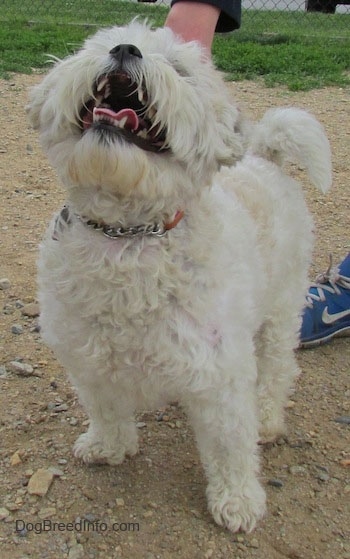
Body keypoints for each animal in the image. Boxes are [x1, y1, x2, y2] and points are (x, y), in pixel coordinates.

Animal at [26, 21, 330, 532]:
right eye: (97, 43)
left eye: (180, 69)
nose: (125, 49)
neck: (127, 235)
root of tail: (265, 158)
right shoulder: (88, 356)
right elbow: (106, 408)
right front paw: (108, 446)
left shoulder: (223, 370)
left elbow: (230, 443)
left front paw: (238, 500)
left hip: (281, 310)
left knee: (277, 370)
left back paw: (269, 419)